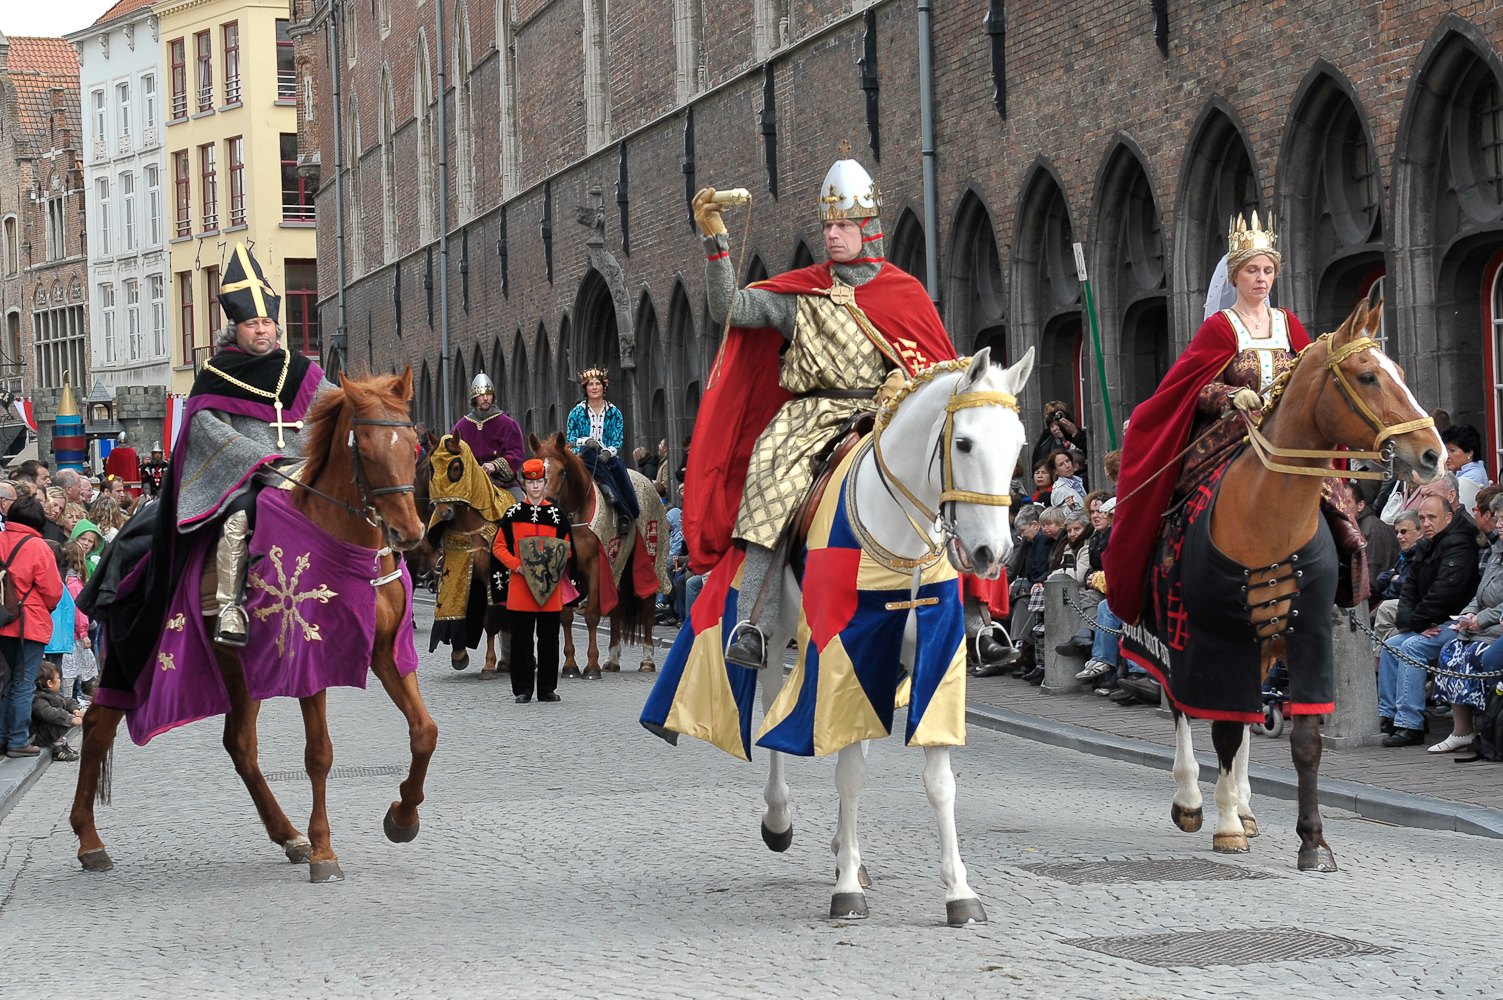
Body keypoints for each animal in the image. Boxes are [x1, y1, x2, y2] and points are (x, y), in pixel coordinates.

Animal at [70, 368, 435, 884]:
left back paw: (289, 836)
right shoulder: (308, 661)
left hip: (236, 669)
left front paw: (402, 818)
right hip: (129, 657)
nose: (410, 533)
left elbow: (424, 732)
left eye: (413, 444)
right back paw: (89, 841)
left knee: (240, 744)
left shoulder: (386, 653)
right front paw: (325, 852)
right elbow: (319, 754)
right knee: (98, 726)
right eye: (363, 446)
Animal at [532, 430, 667, 679]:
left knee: (646, 605)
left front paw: (591, 666)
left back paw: (647, 660)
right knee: (616, 608)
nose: (546, 505)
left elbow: (592, 614)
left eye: (562, 470)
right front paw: (570, 666)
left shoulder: (597, 564)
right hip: (619, 565)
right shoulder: (564, 568)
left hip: (649, 560)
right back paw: (612, 659)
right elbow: (566, 617)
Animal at [751, 347, 1034, 926]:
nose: (992, 554)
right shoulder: (843, 651)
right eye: (963, 442)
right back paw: (780, 819)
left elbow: (939, 783)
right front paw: (844, 891)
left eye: (1018, 446)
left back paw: (849, 855)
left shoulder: (934, 659)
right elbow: (849, 771)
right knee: (773, 706)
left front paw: (959, 893)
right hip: (785, 636)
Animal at [1160, 294, 1442, 866]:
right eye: (1367, 376)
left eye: (1400, 373)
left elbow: (1304, 740)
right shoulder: (1216, 638)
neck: (1267, 515)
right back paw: (1194, 800)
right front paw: (1224, 824)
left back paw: (1244, 806)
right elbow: (1220, 728)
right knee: (1183, 706)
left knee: (1247, 713)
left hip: (1263, 644)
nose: (1433, 453)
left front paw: (1312, 840)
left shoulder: (1306, 635)